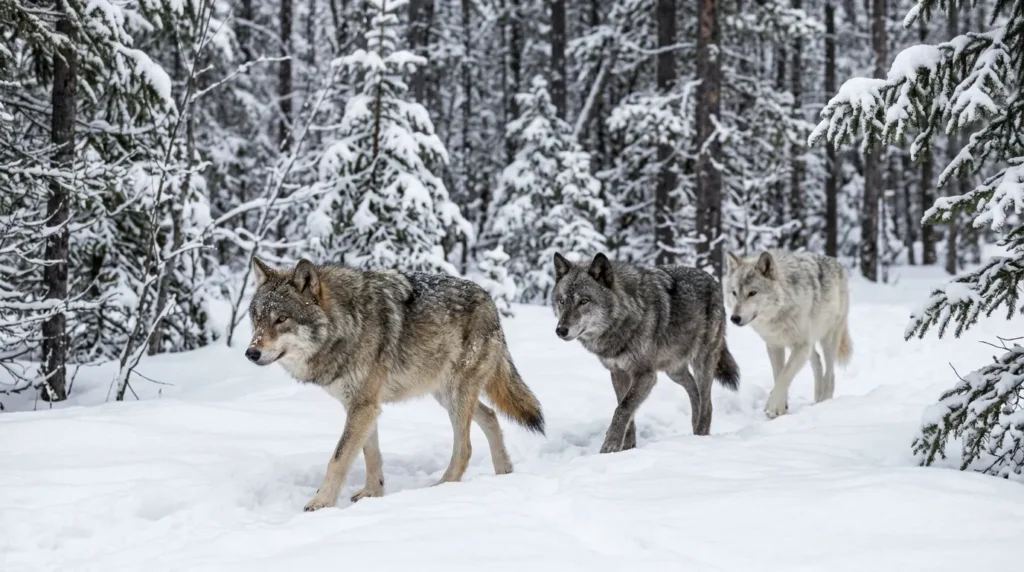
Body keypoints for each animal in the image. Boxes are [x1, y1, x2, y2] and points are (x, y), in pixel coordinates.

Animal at [245, 257, 545, 511]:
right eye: (256, 319)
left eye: (281, 319)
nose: (251, 353)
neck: (347, 324)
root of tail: (490, 300)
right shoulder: (363, 406)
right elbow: (370, 454)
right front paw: (372, 494)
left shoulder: (363, 406)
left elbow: (338, 458)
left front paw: (321, 503)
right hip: (446, 394)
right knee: (491, 415)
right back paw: (504, 472)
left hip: (456, 395)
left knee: (465, 448)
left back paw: (441, 489)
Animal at [551, 252, 740, 452]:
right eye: (562, 301)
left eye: (583, 301)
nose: (560, 330)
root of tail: (714, 280)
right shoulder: (618, 372)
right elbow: (627, 410)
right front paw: (627, 447)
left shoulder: (646, 374)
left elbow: (623, 408)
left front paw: (609, 447)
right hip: (674, 371)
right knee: (694, 391)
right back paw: (694, 431)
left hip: (701, 363)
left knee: (707, 404)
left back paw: (700, 437)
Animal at [724, 250, 853, 419]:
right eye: (734, 293)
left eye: (752, 293)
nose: (734, 318)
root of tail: (837, 262)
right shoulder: (775, 345)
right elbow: (779, 374)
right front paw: (782, 407)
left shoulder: (801, 345)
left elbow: (784, 376)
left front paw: (773, 406)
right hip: (808, 345)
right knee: (817, 362)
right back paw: (817, 399)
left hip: (828, 340)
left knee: (830, 373)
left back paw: (825, 401)